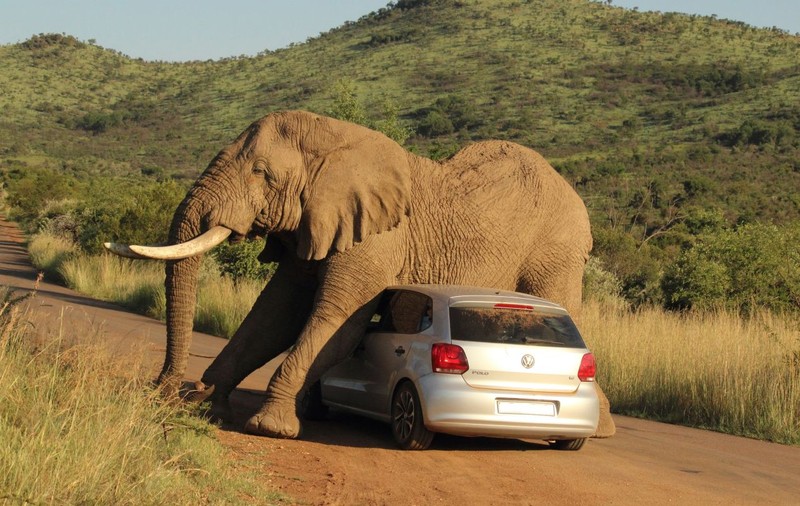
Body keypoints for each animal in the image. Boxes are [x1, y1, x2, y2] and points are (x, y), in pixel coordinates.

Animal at [106, 110, 616, 439]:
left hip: (557, 249)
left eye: (261, 173)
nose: (162, 391)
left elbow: (337, 320)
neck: (337, 140)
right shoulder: (314, 224)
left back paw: (602, 428)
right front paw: (209, 403)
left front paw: (269, 426)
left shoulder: (377, 238)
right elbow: (274, 316)